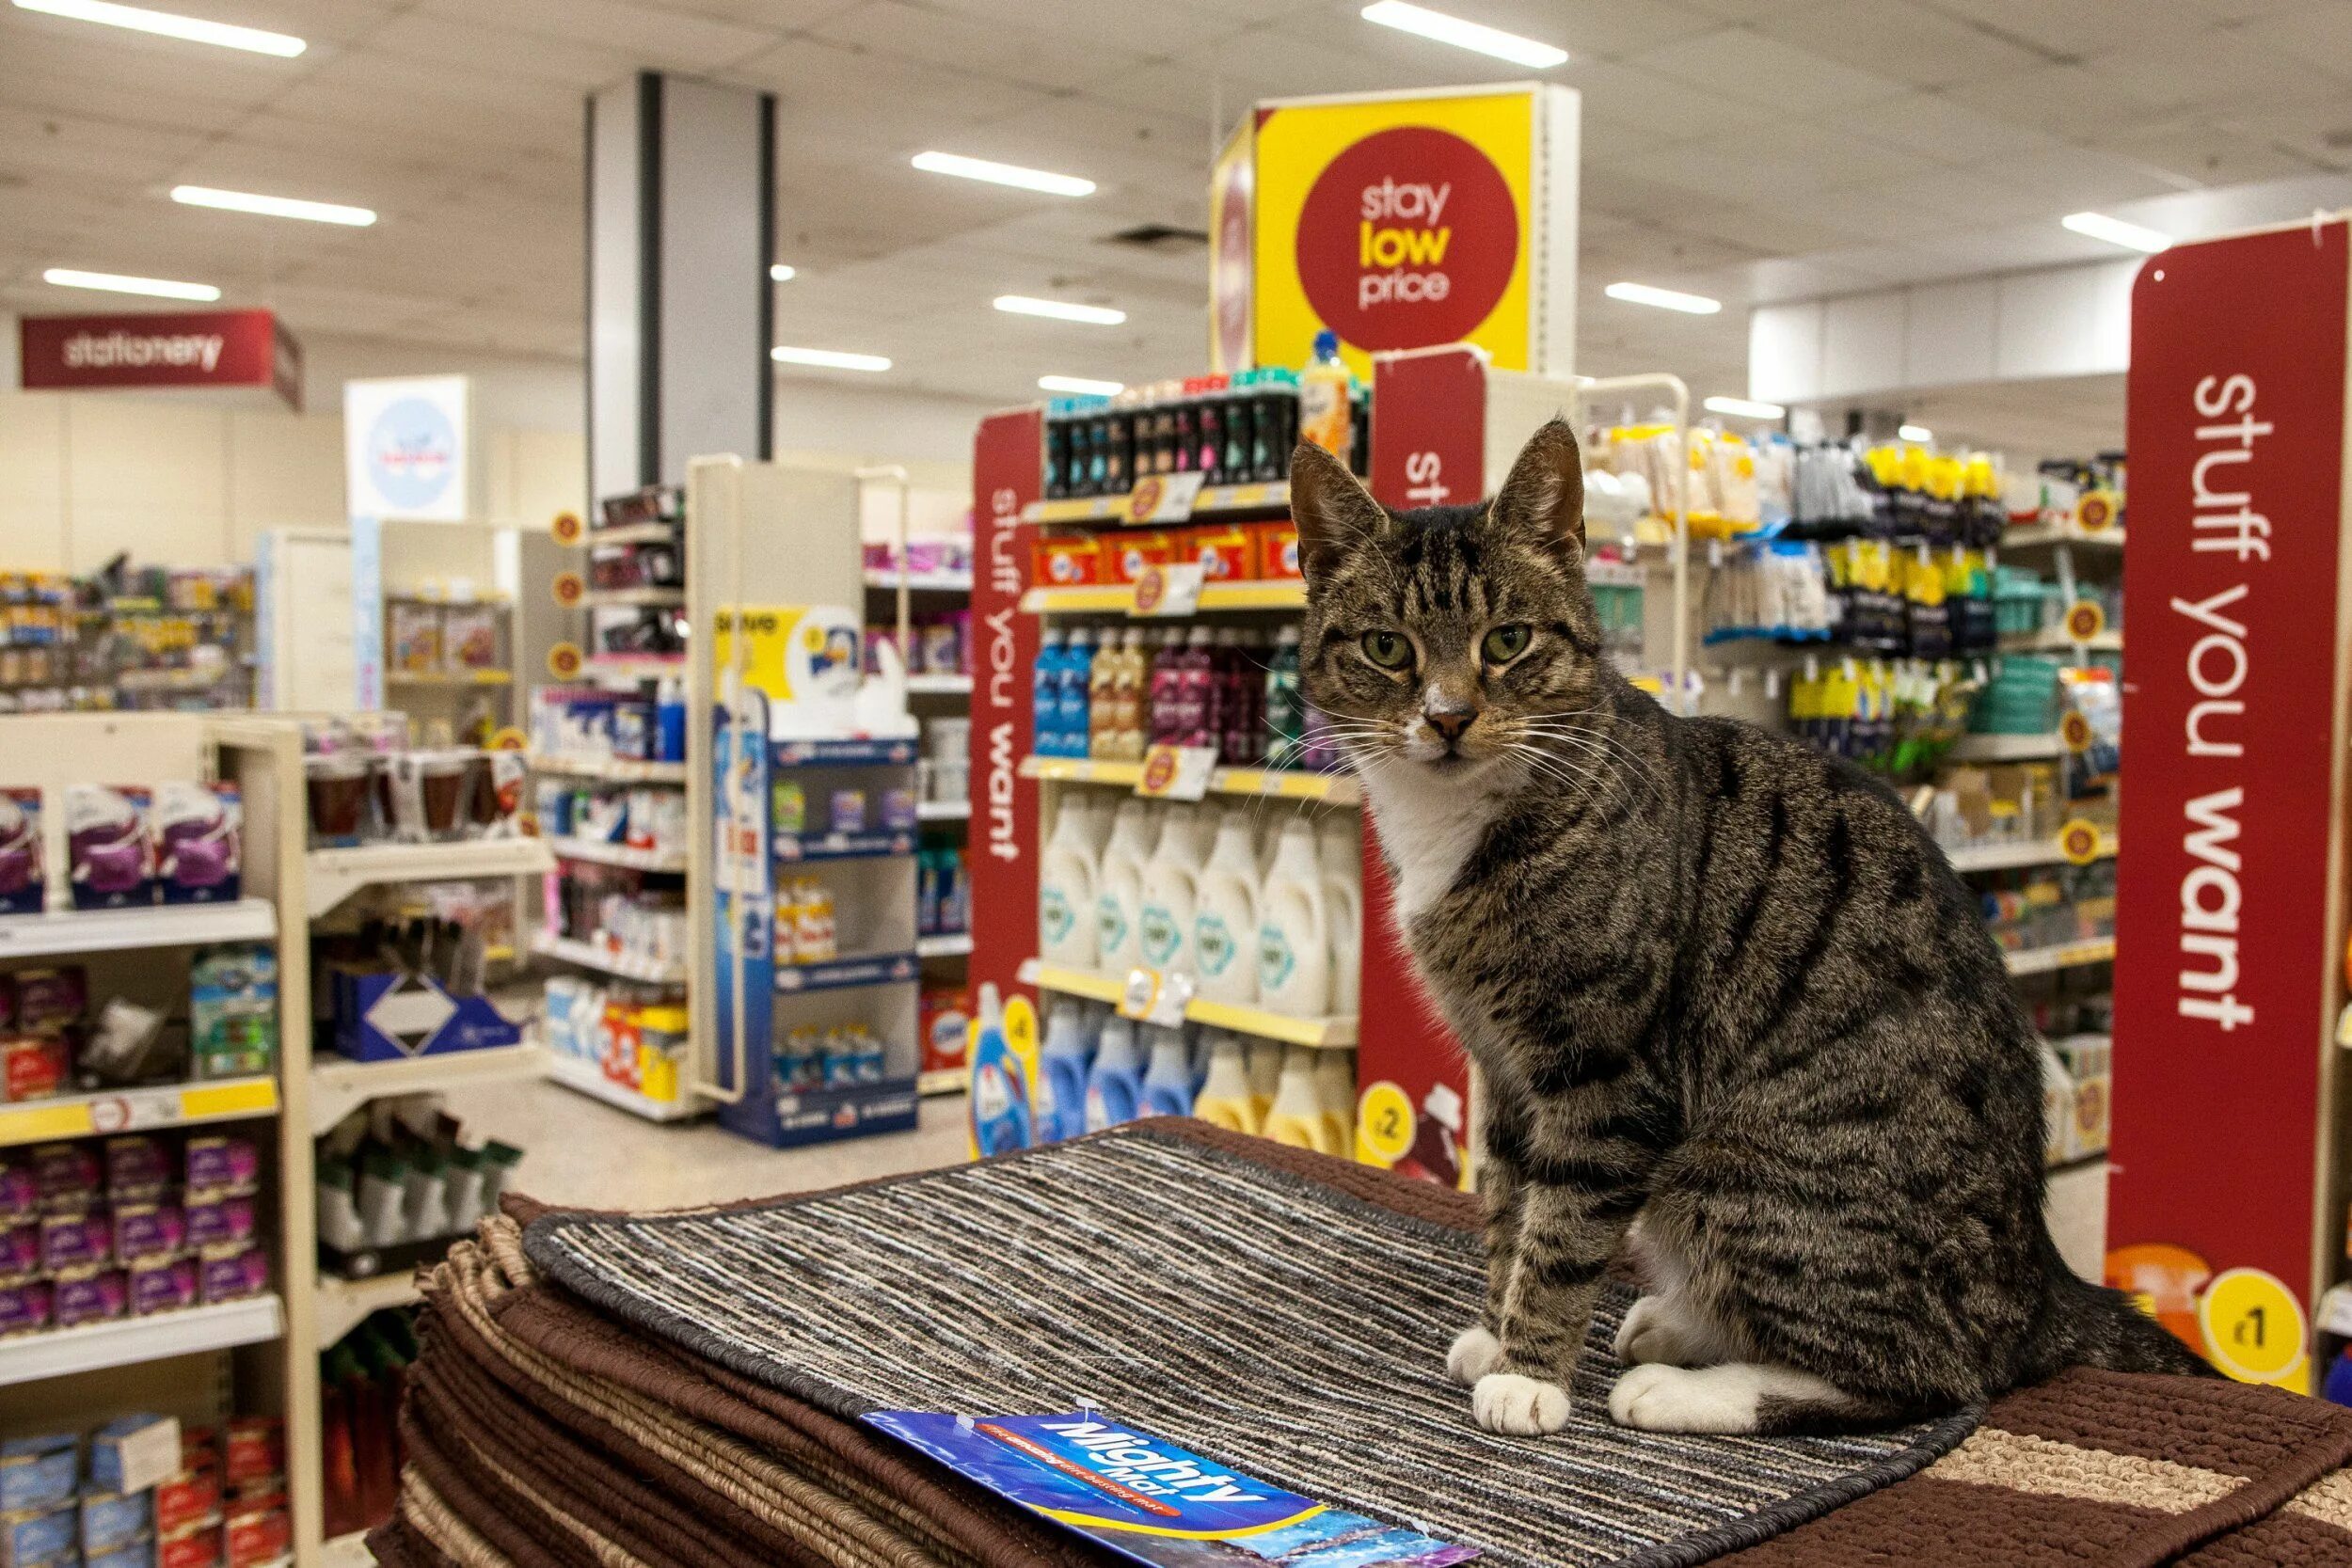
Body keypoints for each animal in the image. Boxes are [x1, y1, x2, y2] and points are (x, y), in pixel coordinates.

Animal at [1289, 420, 2201, 1448]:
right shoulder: (1505, 1065)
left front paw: (1528, 1372)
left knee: (1933, 1373)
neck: (1456, 822)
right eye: (1385, 647)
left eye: (1507, 641)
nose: (1446, 718)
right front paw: (1496, 1327)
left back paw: (1683, 1381)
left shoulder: (1602, 1073)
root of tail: (2038, 1288)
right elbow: (1507, 1201)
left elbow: (1560, 1228)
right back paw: (1677, 1324)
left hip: (1736, 1169)